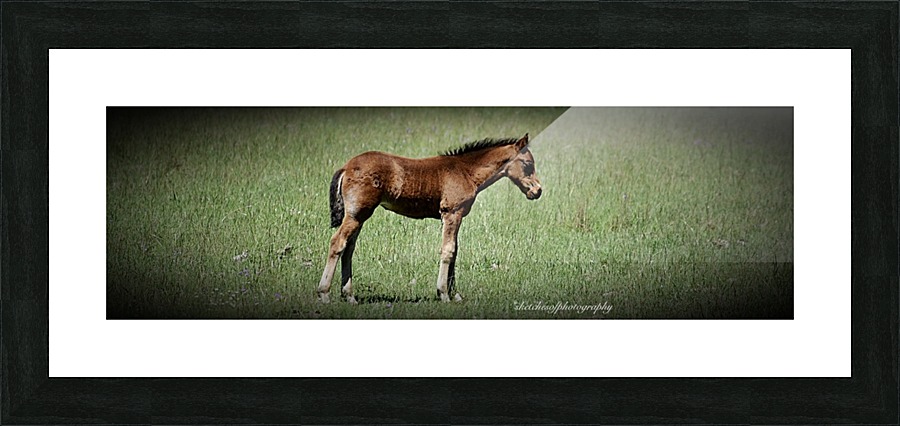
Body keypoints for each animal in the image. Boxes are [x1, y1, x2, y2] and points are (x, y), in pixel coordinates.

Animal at [316, 133, 542, 304]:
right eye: (527, 163)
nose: (538, 191)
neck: (466, 171)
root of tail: (346, 167)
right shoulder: (452, 213)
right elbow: (448, 250)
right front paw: (443, 294)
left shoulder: (453, 217)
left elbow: (455, 251)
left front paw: (455, 294)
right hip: (357, 214)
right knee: (338, 243)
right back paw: (324, 293)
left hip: (359, 215)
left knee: (349, 248)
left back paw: (349, 296)